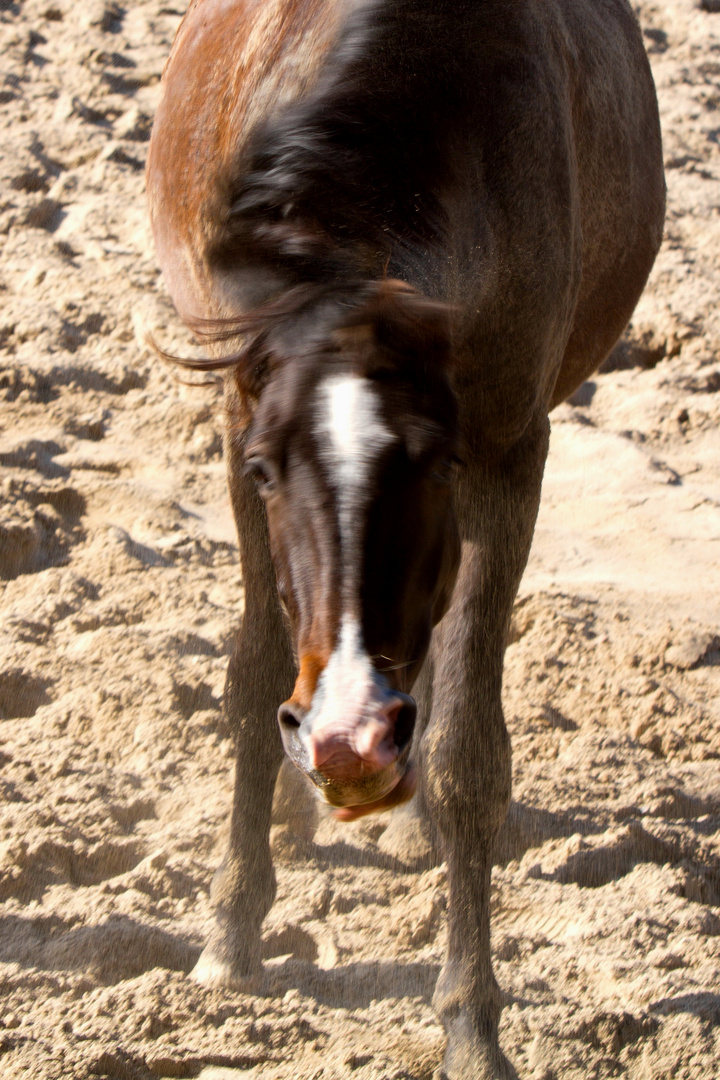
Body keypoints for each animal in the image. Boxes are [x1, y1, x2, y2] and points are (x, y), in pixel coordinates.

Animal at [144, 4, 664, 1075]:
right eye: (266, 469)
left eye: (428, 463)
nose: (347, 743)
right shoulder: (237, 408)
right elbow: (252, 671)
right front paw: (231, 930)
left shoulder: (503, 450)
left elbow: (470, 749)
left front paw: (471, 1021)